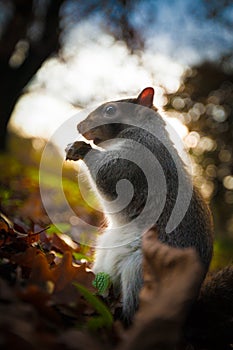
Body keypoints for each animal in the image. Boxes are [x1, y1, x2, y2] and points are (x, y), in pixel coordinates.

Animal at [65, 87, 213, 322]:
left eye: (110, 110)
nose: (79, 126)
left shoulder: (134, 162)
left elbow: (107, 175)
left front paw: (81, 148)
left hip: (141, 272)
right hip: (104, 259)